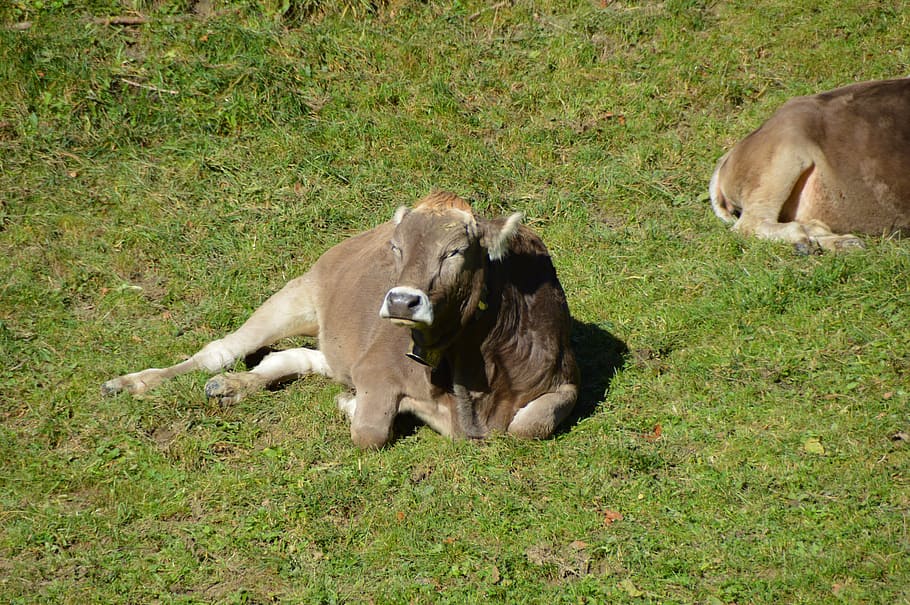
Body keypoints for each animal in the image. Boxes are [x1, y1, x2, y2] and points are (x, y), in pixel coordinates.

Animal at [102, 191, 579, 449]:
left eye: (455, 251)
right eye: (396, 247)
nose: (401, 301)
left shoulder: (565, 379)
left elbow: (529, 426)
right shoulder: (376, 369)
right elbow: (369, 430)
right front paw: (351, 406)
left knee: (291, 359)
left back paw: (231, 387)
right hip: (297, 293)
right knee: (220, 351)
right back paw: (131, 383)